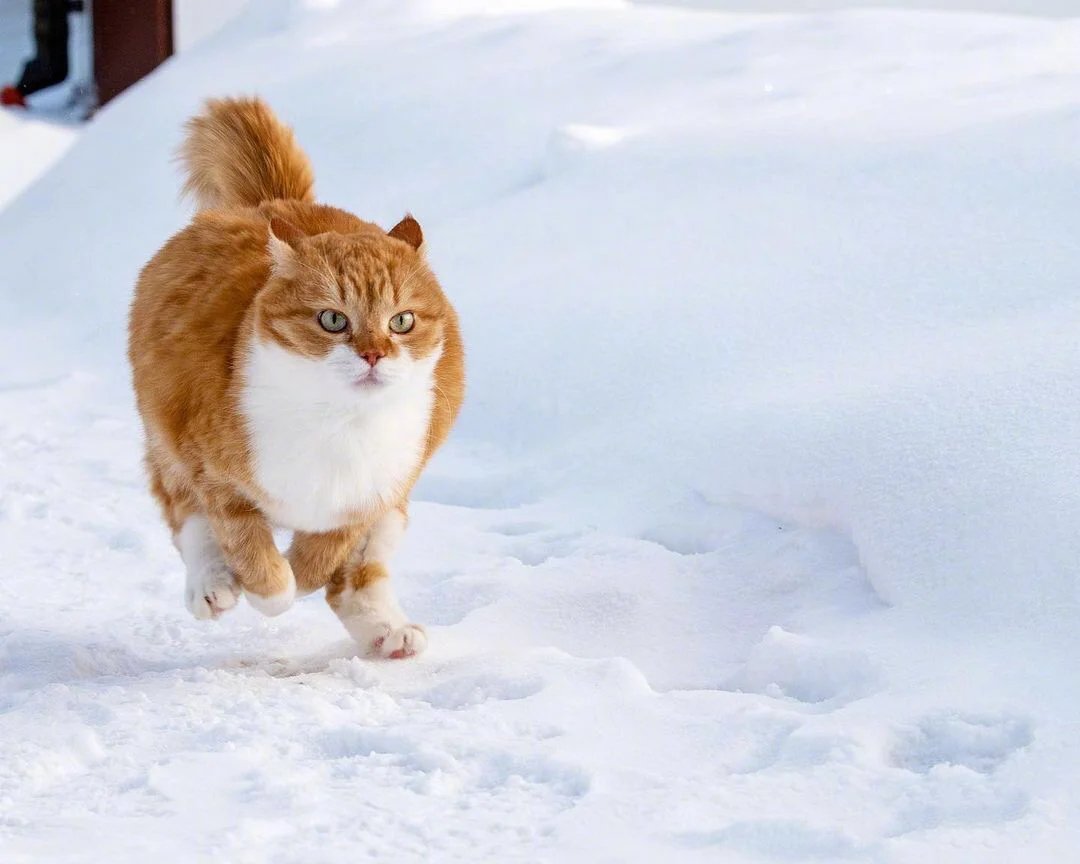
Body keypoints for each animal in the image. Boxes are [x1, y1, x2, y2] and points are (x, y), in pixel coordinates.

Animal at [127, 97, 464, 656]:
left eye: (402, 321)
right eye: (332, 319)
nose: (374, 354)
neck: (340, 425)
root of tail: (271, 199)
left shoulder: (370, 495)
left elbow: (324, 559)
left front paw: (304, 573)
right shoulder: (215, 474)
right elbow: (253, 553)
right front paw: (269, 589)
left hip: (396, 502)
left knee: (358, 578)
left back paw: (388, 633)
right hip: (166, 432)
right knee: (185, 515)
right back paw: (212, 585)